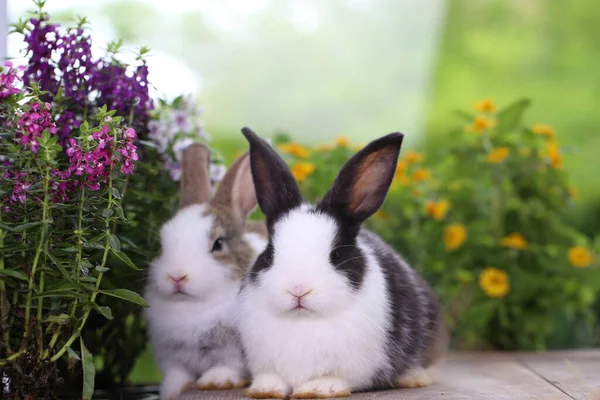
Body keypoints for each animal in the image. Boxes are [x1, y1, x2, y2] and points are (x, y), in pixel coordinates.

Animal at [143, 144, 268, 400]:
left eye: (218, 244)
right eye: (161, 244)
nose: (177, 276)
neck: (191, 306)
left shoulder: (234, 351)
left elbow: (228, 366)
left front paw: (216, 381)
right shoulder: (170, 355)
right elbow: (176, 373)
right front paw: (171, 389)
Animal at [234, 129, 446, 400]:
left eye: (335, 255)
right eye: (270, 254)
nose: (298, 289)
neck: (303, 320)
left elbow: (332, 378)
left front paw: (316, 389)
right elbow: (271, 378)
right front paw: (265, 389)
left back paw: (413, 378)